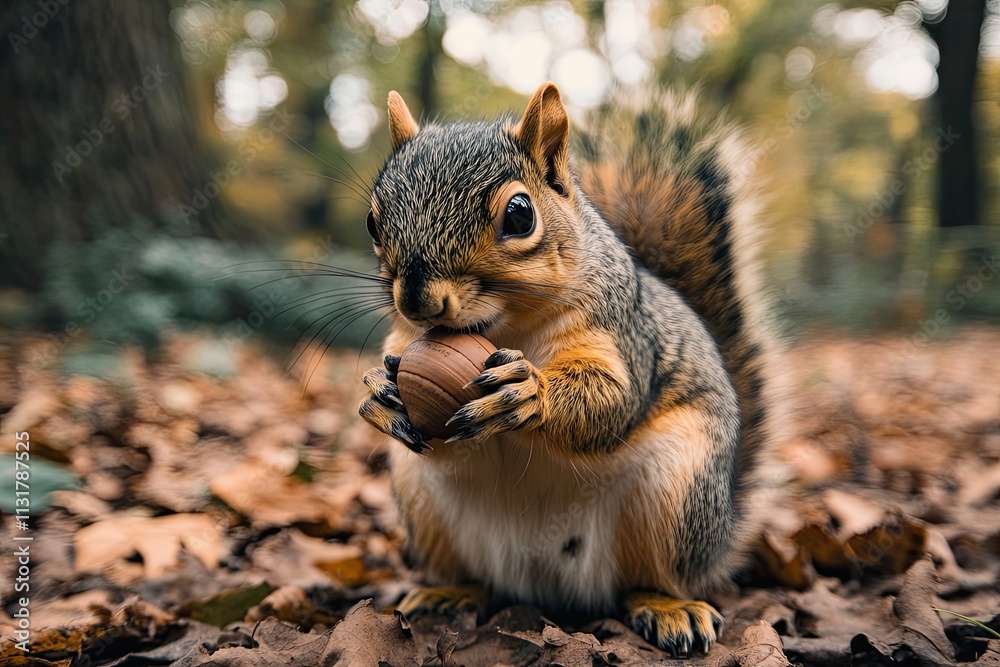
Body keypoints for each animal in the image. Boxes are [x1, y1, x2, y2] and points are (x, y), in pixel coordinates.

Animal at [358, 82, 773, 656]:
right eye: (373, 221)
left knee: (650, 578)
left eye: (520, 215)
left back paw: (670, 608)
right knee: (476, 578)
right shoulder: (404, 341)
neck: (505, 329)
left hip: (676, 493)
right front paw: (379, 392)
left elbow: (613, 398)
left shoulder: (622, 334)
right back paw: (450, 593)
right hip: (424, 506)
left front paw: (530, 391)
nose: (417, 300)